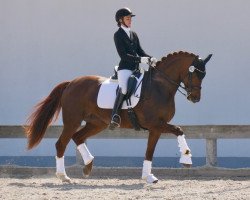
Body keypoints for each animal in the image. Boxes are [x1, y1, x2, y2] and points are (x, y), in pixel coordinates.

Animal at [24, 51, 211, 183]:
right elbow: (178, 130)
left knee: (78, 137)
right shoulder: (155, 124)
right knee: (61, 143)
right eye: (195, 73)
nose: (195, 98)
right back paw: (64, 176)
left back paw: (88, 166)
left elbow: (150, 151)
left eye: (204, 75)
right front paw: (186, 157)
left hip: (97, 123)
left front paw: (148, 177)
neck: (159, 87)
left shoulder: (156, 127)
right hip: (72, 121)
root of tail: (71, 83)